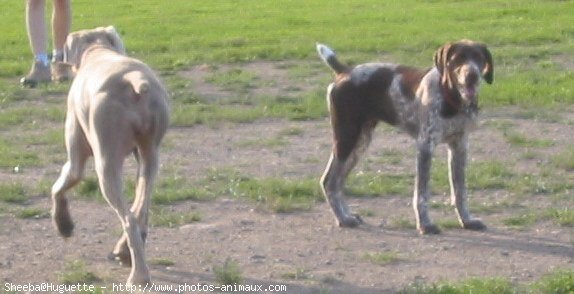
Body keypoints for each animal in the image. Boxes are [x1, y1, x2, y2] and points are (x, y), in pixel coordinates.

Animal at [51, 26, 169, 284]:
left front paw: (64, 225)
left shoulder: (76, 158)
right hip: (151, 155)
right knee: (140, 210)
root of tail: (134, 79)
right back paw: (124, 252)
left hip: (106, 163)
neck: (97, 51)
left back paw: (139, 276)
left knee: (129, 219)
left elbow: (60, 185)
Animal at [320, 40, 496, 233]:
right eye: (459, 58)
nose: (472, 75)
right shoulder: (425, 146)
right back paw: (344, 218)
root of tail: (345, 72)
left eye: (478, 57)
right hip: (346, 138)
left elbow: (460, 192)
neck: (451, 98)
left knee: (337, 182)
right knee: (329, 181)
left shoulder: (460, 145)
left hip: (360, 143)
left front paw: (466, 220)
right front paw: (425, 224)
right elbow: (422, 194)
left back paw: (347, 216)